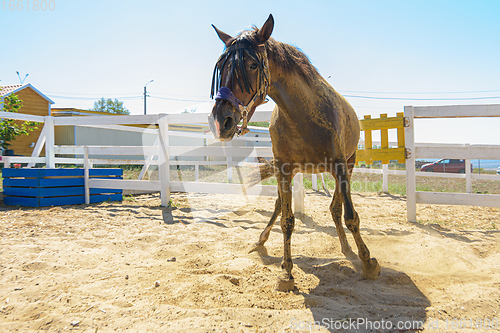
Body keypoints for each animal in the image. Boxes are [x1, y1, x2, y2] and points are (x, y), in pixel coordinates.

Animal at [209, 14, 380, 290]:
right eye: (221, 68)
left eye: (252, 65)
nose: (222, 120)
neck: (302, 115)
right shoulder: (284, 169)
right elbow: (287, 220)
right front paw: (287, 273)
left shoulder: (340, 166)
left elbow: (350, 216)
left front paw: (367, 262)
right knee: (282, 205)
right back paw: (261, 240)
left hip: (349, 164)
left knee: (336, 208)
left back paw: (348, 249)